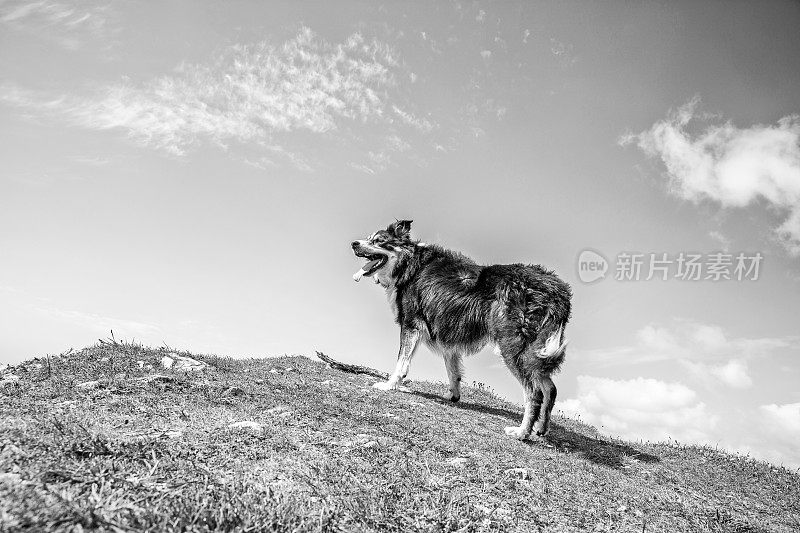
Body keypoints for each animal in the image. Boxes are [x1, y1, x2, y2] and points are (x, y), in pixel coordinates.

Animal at [354, 218, 572, 438]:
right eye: (369, 238)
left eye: (379, 241)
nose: (354, 244)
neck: (409, 264)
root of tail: (558, 291)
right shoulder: (446, 332)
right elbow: (453, 370)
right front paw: (453, 395)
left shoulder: (411, 324)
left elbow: (401, 362)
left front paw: (389, 385)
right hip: (535, 351)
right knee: (550, 388)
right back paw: (541, 428)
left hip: (513, 346)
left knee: (535, 392)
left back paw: (522, 432)